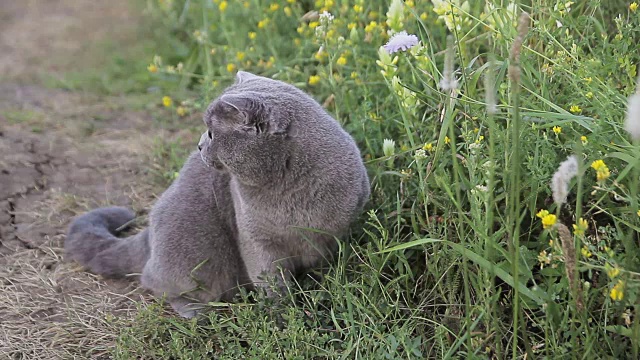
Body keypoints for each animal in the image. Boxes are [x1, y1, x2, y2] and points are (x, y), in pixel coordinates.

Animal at [65, 71, 370, 318]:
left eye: (212, 133)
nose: (199, 145)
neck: (288, 191)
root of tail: (148, 233)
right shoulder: (255, 240)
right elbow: (271, 282)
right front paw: (284, 316)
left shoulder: (333, 232)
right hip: (193, 253)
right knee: (154, 281)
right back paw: (196, 311)